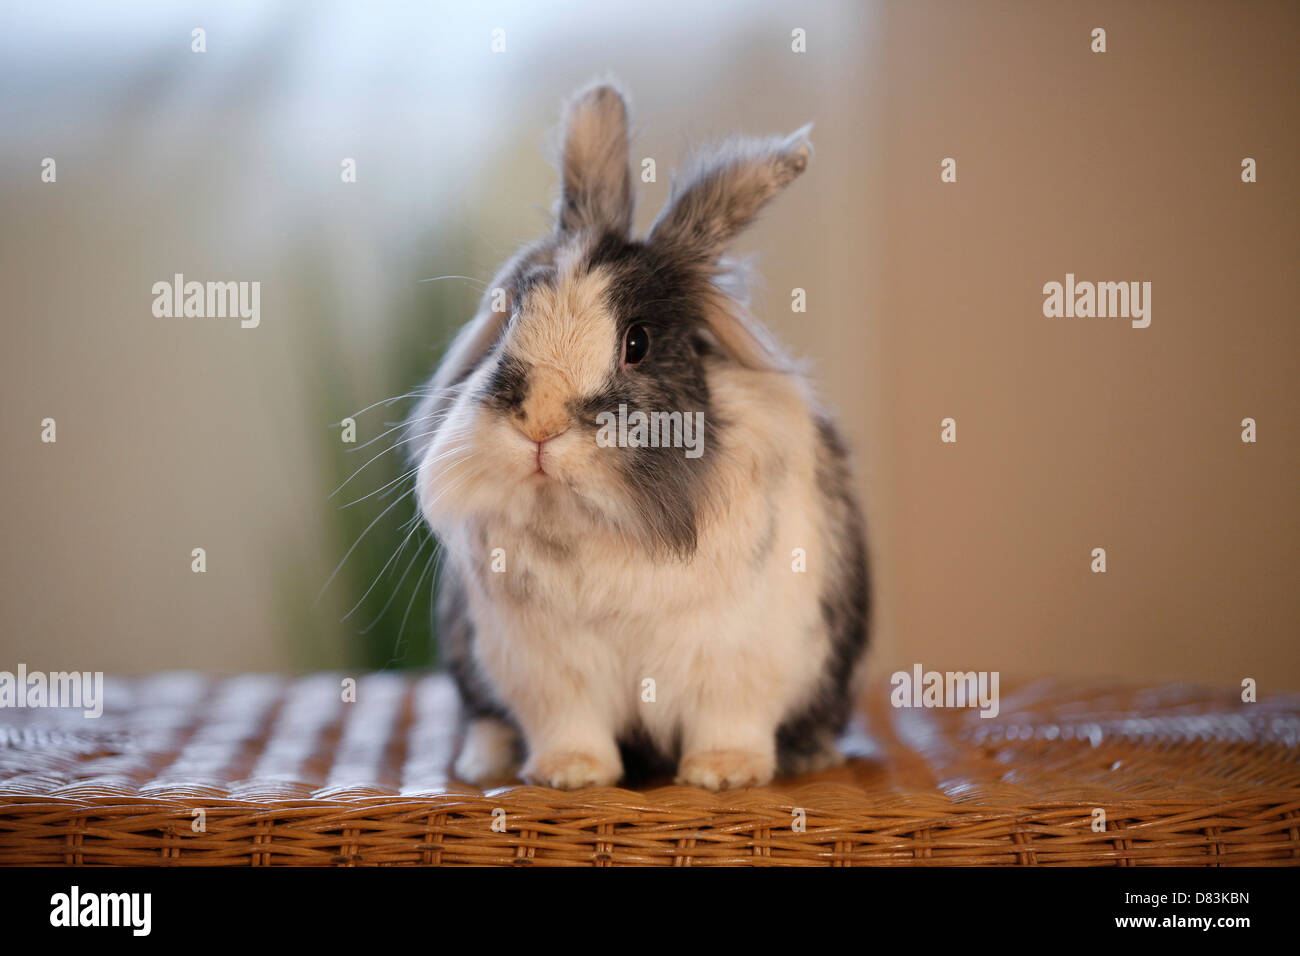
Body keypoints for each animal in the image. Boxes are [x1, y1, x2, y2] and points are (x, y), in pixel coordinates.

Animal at [405, 82, 873, 790]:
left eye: (638, 343)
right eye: (511, 315)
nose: (539, 423)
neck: (607, 520)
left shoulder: (740, 662)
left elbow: (730, 722)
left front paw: (722, 775)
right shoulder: (549, 672)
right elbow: (569, 725)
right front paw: (570, 775)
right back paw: (485, 759)